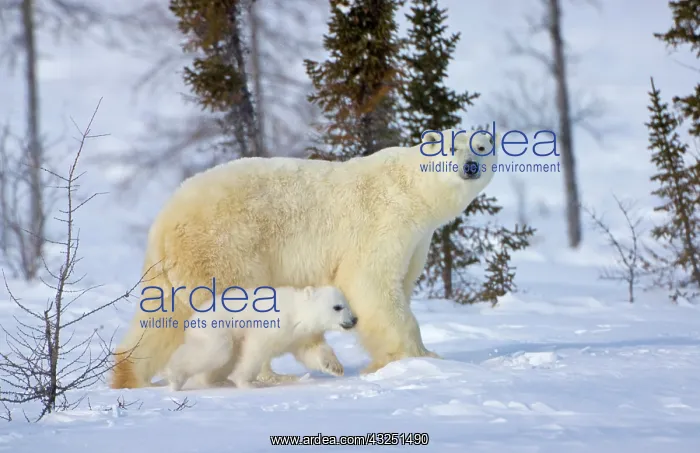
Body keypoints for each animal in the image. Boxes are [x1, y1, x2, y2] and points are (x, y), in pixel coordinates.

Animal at [165, 285, 358, 391]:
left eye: (347, 304)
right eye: (337, 307)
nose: (354, 319)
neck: (297, 313)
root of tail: (194, 316)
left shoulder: (302, 336)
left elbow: (311, 351)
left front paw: (335, 367)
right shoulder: (273, 324)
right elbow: (255, 351)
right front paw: (246, 383)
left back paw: (217, 381)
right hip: (217, 328)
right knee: (216, 351)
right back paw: (176, 379)